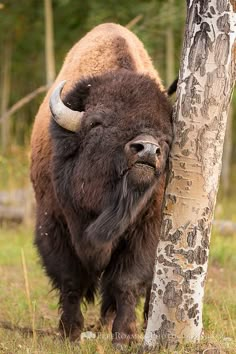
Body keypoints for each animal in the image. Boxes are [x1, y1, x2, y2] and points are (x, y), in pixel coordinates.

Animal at [30, 23, 172, 348]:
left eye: (167, 137)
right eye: (98, 124)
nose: (148, 149)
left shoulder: (146, 230)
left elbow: (125, 282)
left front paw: (124, 338)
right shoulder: (53, 223)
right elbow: (70, 279)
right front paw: (69, 333)